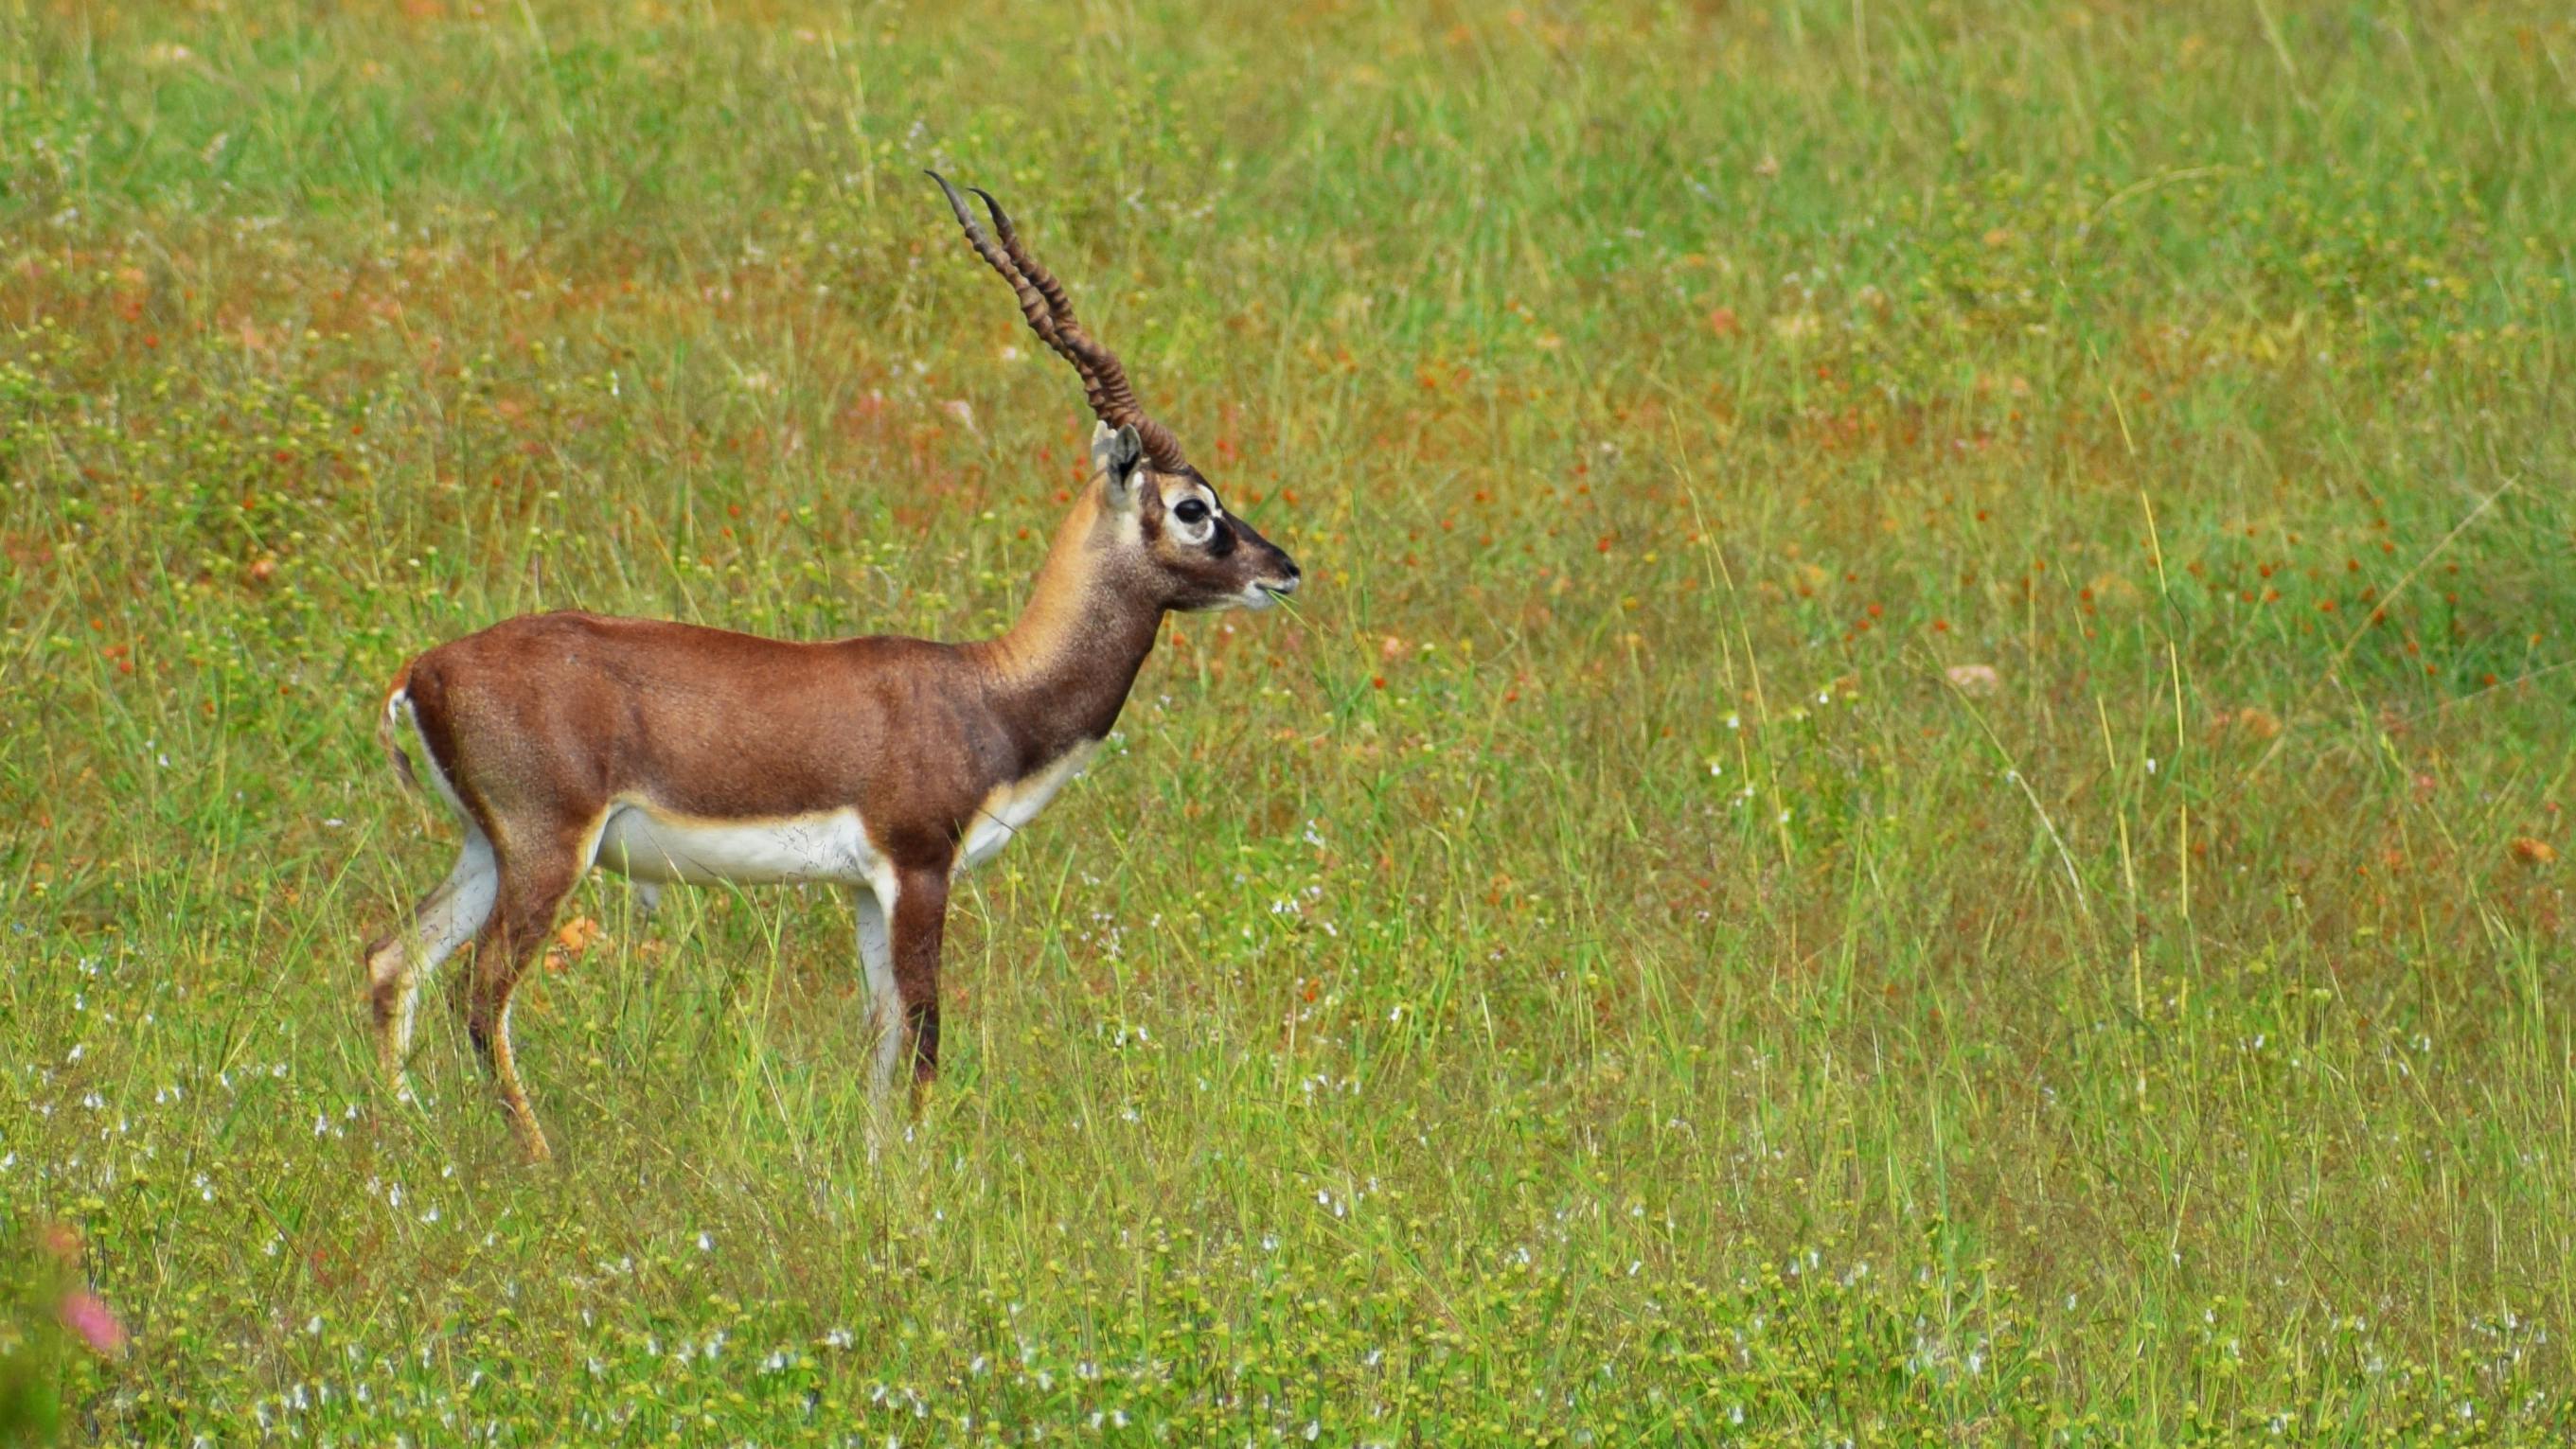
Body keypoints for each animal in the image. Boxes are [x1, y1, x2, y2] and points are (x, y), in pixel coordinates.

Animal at [360, 173, 1303, 1161]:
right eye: (1195, 507)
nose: (1282, 569)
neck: (990, 693)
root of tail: (424, 668)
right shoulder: (918, 870)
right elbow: (924, 1037)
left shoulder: (860, 890)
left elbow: (884, 1040)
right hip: (548, 851)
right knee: (481, 995)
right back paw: (540, 1160)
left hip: (485, 847)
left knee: (392, 960)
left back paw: (403, 1128)